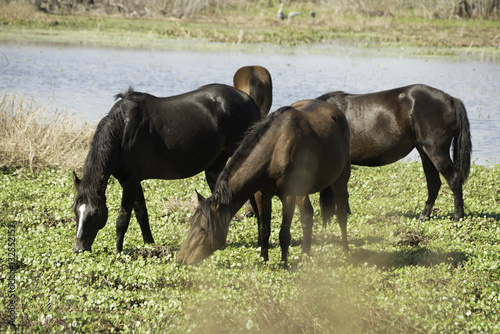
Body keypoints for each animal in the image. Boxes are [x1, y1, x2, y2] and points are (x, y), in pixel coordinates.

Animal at [74, 83, 264, 253]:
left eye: (95, 213)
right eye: (76, 211)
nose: (79, 249)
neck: (123, 130)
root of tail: (248, 99)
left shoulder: (130, 182)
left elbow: (123, 217)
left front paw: (118, 251)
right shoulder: (131, 181)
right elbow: (141, 213)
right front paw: (150, 244)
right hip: (215, 166)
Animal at [178, 98, 350, 268]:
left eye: (203, 229)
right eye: (191, 223)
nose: (180, 259)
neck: (275, 150)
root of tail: (336, 111)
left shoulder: (288, 196)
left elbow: (284, 233)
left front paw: (284, 265)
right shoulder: (262, 195)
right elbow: (264, 229)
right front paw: (264, 260)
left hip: (340, 180)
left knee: (341, 214)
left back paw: (345, 250)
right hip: (302, 191)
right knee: (307, 215)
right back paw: (306, 255)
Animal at [316, 83, 472, 222]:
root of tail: (451, 99)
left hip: (436, 151)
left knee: (454, 179)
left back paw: (458, 216)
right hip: (425, 152)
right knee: (434, 183)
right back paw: (424, 216)